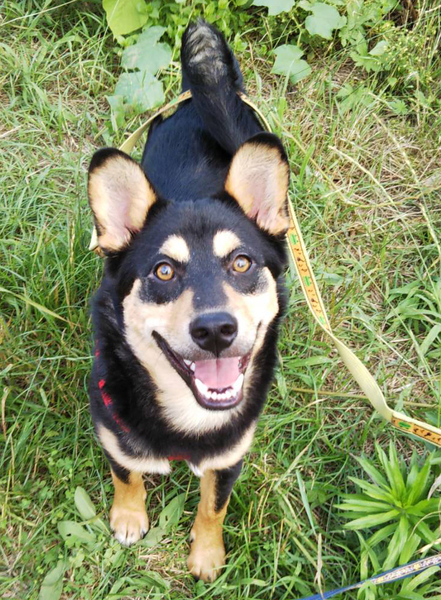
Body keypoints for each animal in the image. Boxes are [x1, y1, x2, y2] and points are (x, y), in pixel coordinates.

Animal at [87, 20, 289, 582]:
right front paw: (129, 517)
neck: (187, 419)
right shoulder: (112, 430)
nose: (216, 329)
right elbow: (127, 475)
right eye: (163, 270)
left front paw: (206, 555)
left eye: (241, 263)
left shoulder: (229, 456)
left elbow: (212, 506)